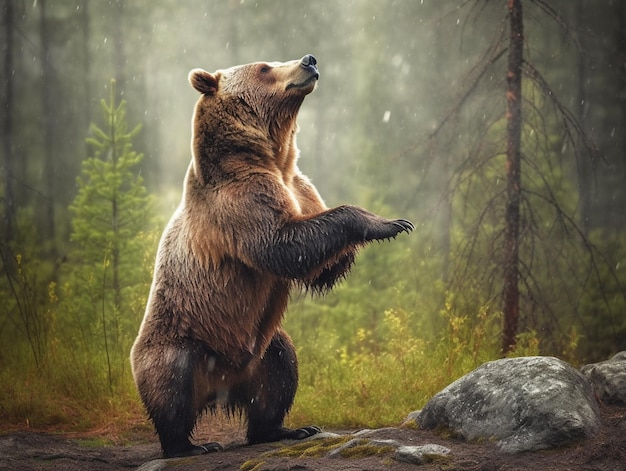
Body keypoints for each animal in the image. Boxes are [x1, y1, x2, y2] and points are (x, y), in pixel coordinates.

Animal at [129, 53, 412, 460]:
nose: (309, 59)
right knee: (172, 388)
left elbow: (317, 267)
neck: (274, 158)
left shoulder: (300, 186)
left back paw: (287, 429)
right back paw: (189, 445)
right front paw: (383, 223)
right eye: (264, 66)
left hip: (260, 352)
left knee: (280, 373)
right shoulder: (238, 197)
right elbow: (280, 244)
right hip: (180, 340)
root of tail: (220, 389)